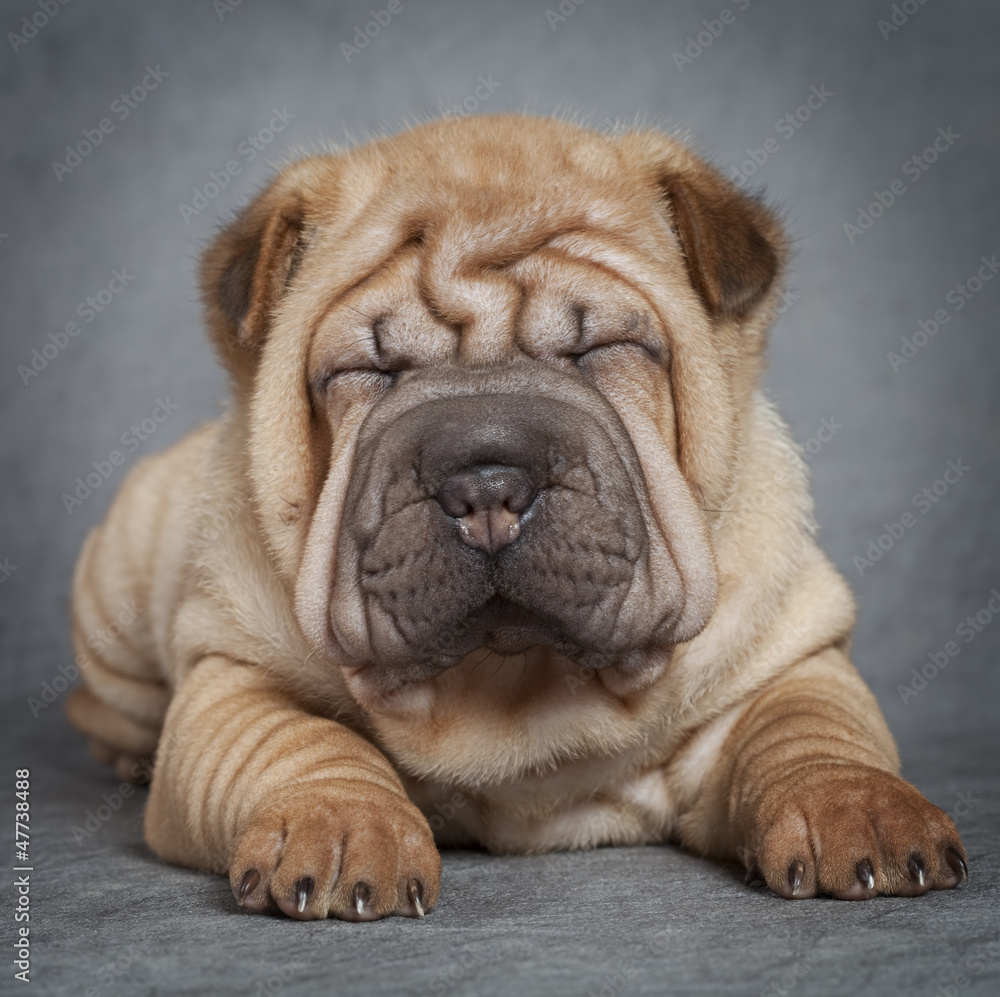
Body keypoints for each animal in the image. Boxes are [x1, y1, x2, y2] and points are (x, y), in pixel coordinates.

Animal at [64, 111, 968, 920]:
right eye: (374, 371)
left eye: (598, 351)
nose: (487, 482)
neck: (511, 681)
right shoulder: (233, 674)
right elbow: (303, 744)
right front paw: (342, 827)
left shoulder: (788, 652)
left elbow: (810, 730)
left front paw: (864, 810)